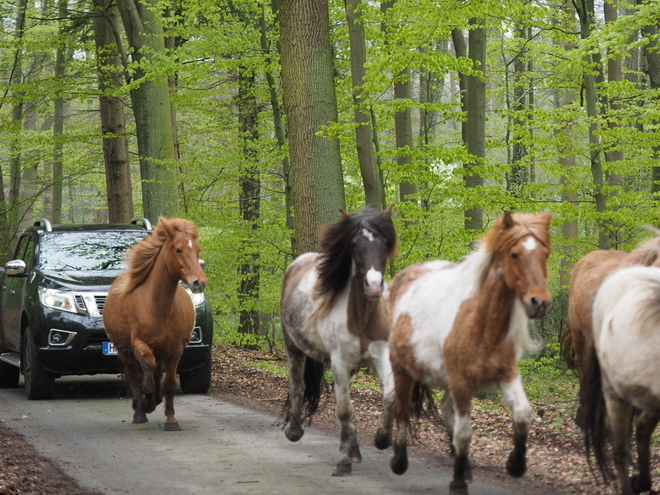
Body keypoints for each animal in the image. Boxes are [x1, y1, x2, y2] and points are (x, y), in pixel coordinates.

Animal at [102, 217, 206, 430]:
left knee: (157, 373)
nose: (199, 282)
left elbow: (169, 384)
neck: (158, 307)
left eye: (197, 249)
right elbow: (146, 371)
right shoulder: (139, 344)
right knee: (134, 375)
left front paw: (171, 420)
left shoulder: (175, 350)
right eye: (178, 249)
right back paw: (139, 411)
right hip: (124, 350)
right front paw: (146, 402)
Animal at [280, 205, 398, 476]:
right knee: (298, 387)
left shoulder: (380, 356)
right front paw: (344, 461)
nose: (373, 286)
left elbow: (389, 397)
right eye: (354, 244)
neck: (361, 317)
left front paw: (381, 439)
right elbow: (344, 409)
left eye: (386, 242)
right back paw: (295, 431)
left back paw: (355, 450)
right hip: (295, 349)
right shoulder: (340, 362)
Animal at [382, 211, 552, 494]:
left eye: (545, 254)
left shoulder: (506, 374)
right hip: (402, 369)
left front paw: (516, 465)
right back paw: (397, 459)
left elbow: (523, 413)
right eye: (514, 254)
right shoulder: (461, 383)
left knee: (443, 410)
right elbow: (464, 433)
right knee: (401, 408)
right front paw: (458, 482)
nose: (539, 303)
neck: (479, 323)